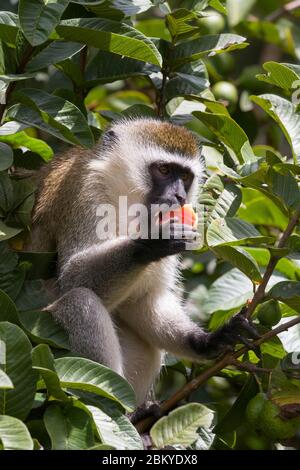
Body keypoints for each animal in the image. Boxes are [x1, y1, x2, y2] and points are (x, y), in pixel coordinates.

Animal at [29, 119, 258, 406]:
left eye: (185, 177)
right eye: (164, 170)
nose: (179, 196)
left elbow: (140, 300)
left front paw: (208, 340)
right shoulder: (85, 190)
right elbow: (72, 277)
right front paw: (151, 241)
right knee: (79, 301)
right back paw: (112, 408)